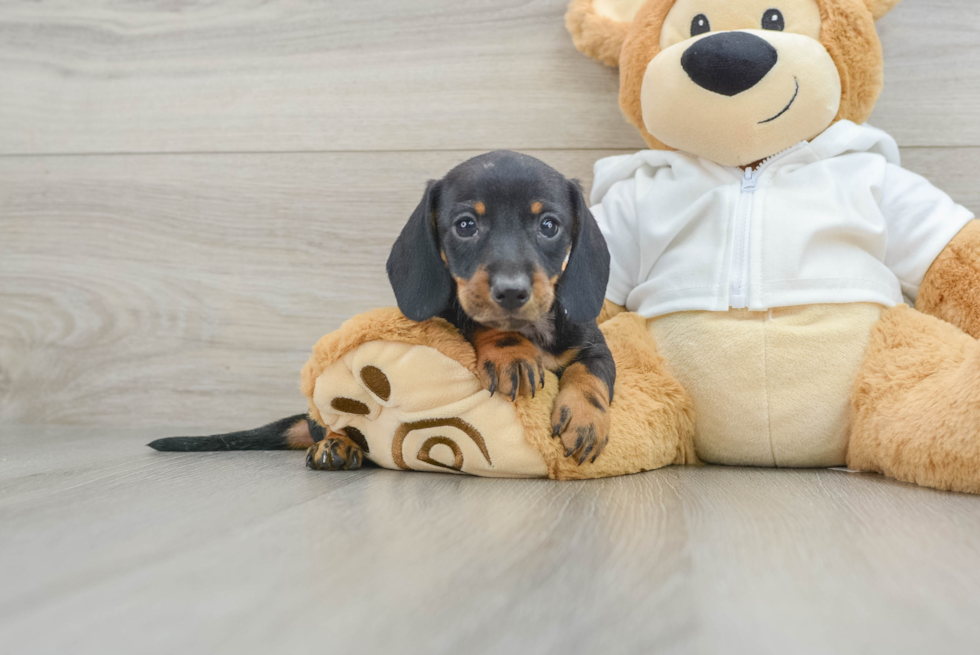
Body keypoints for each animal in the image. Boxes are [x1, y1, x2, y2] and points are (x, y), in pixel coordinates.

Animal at [386, 150, 616, 466]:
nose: (511, 292)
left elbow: (589, 374)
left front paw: (586, 418)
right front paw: (512, 353)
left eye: (549, 225)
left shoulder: (598, 349)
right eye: (466, 225)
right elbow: (481, 322)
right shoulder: (456, 313)